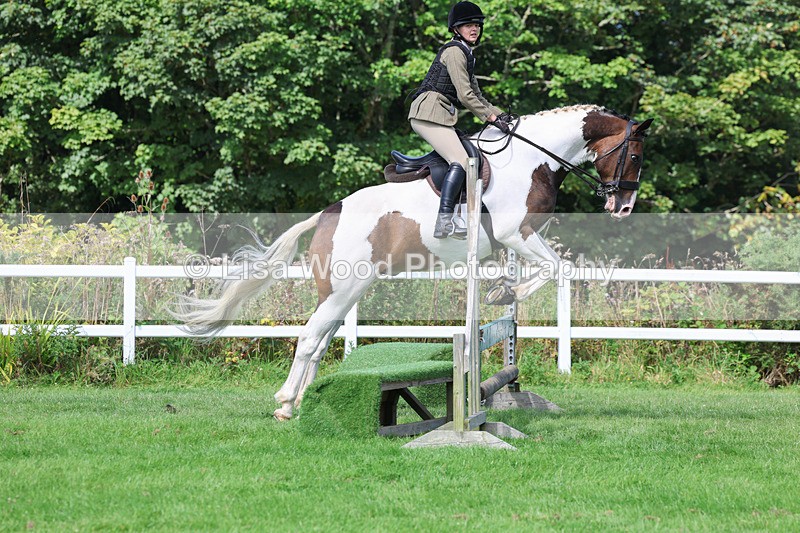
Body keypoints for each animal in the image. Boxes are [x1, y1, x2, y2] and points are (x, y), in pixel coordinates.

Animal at [177, 104, 654, 421]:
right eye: (634, 156)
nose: (624, 207)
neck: (531, 160)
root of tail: (329, 212)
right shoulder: (515, 232)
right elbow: (558, 268)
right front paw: (505, 293)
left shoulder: (516, 240)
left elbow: (547, 269)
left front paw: (503, 289)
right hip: (343, 291)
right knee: (310, 338)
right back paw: (284, 404)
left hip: (347, 290)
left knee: (321, 339)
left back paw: (301, 400)